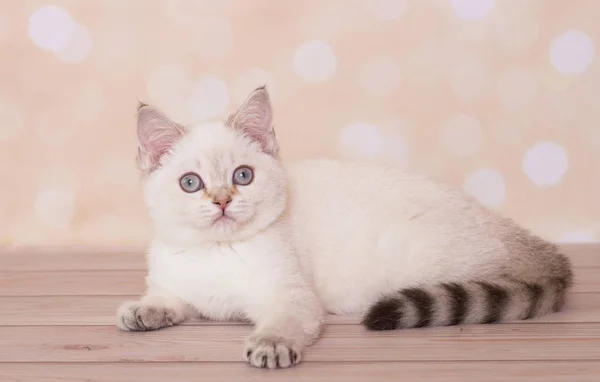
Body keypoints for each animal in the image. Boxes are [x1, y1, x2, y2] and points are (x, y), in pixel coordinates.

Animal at [116, 87, 572, 370]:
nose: (223, 201)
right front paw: (141, 311)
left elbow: (282, 322)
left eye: (243, 176)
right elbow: (167, 300)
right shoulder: (178, 287)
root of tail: (519, 236)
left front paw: (271, 344)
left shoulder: (291, 296)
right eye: (191, 183)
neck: (216, 250)